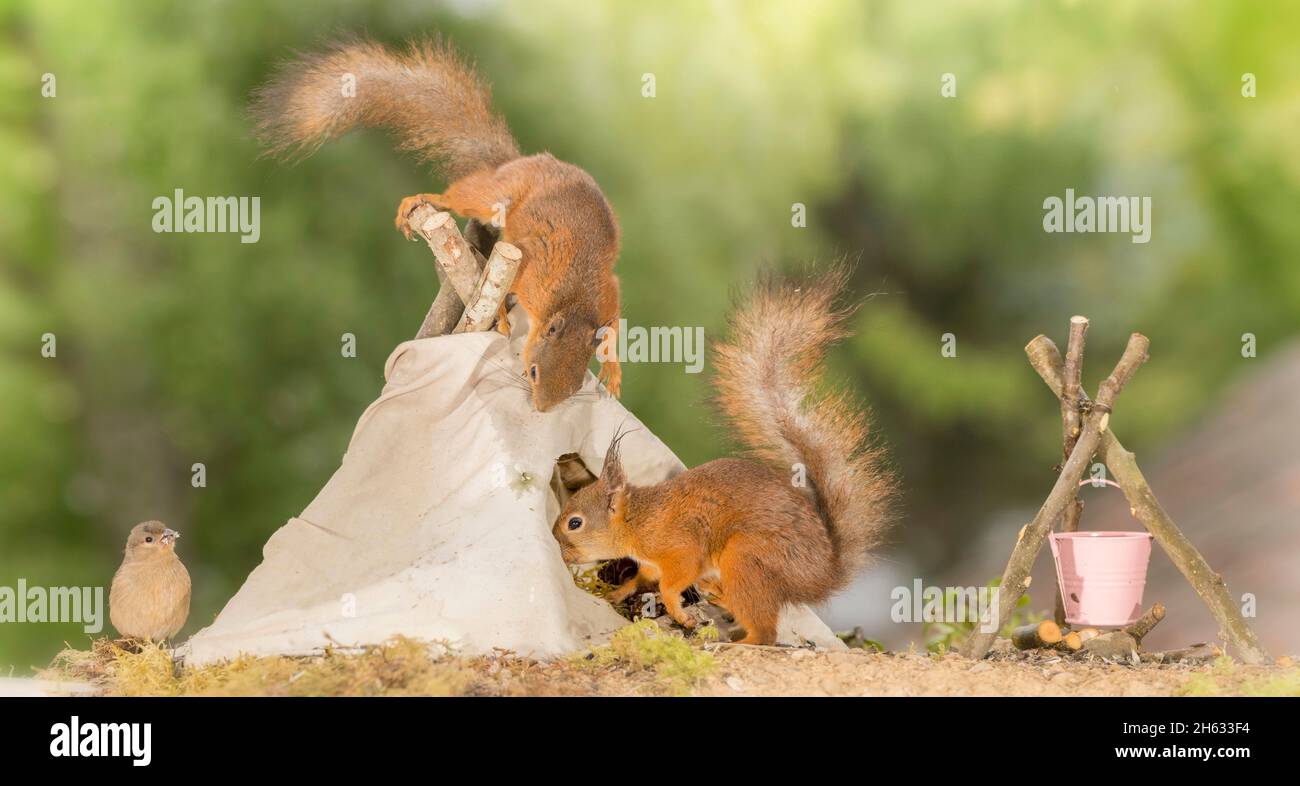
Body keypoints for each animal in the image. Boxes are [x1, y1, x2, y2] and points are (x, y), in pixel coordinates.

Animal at [254, 37, 624, 407]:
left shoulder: (607, 292)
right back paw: (423, 199)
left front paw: (613, 368)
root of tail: (517, 163)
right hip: (493, 198)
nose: (541, 409)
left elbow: (613, 323)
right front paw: (502, 315)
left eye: (572, 390)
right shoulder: (532, 273)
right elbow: (506, 286)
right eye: (534, 371)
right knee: (462, 197)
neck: (574, 302)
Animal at [548, 270, 894, 644]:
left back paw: (739, 640)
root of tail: (822, 574)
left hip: (746, 559)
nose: (557, 546)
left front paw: (678, 613)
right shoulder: (651, 563)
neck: (639, 520)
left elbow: (672, 583)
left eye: (575, 523)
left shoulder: (680, 549)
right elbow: (643, 579)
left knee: (767, 632)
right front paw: (617, 592)